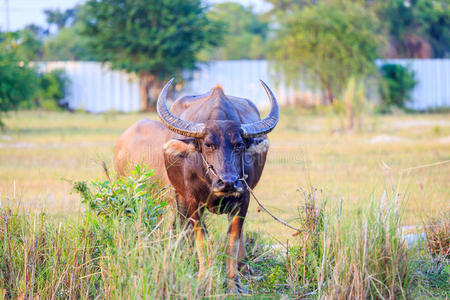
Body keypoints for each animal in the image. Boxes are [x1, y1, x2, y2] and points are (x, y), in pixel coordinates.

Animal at [113, 78, 278, 292]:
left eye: (239, 145)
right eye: (208, 145)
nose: (228, 182)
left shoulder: (243, 198)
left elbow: (232, 240)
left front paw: (233, 283)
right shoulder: (192, 201)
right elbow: (201, 239)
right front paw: (204, 279)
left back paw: (244, 267)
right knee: (184, 227)